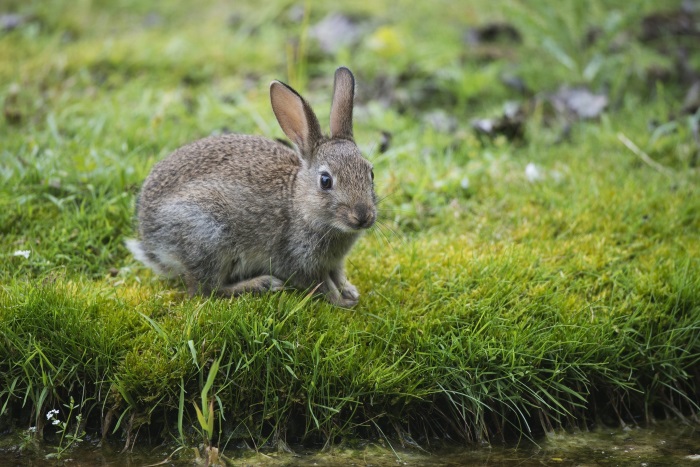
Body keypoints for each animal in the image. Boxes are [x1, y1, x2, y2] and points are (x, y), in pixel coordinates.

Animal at [126, 66, 378, 308]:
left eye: (371, 173)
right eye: (325, 181)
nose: (363, 216)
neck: (299, 204)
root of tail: (150, 238)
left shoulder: (334, 263)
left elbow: (337, 276)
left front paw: (350, 291)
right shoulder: (297, 260)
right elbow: (321, 284)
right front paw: (341, 301)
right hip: (208, 235)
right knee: (206, 290)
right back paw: (262, 283)